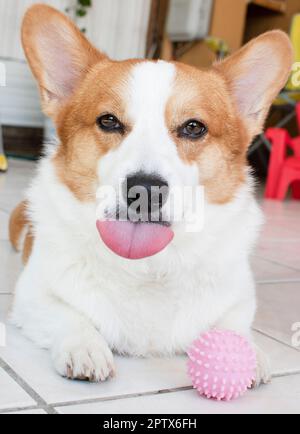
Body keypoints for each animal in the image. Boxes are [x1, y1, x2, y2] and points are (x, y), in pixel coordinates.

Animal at [9, 5, 292, 384]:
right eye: (108, 121)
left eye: (193, 127)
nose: (144, 189)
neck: (148, 266)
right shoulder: (30, 296)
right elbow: (68, 315)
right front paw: (84, 346)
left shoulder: (238, 300)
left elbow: (234, 324)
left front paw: (247, 353)